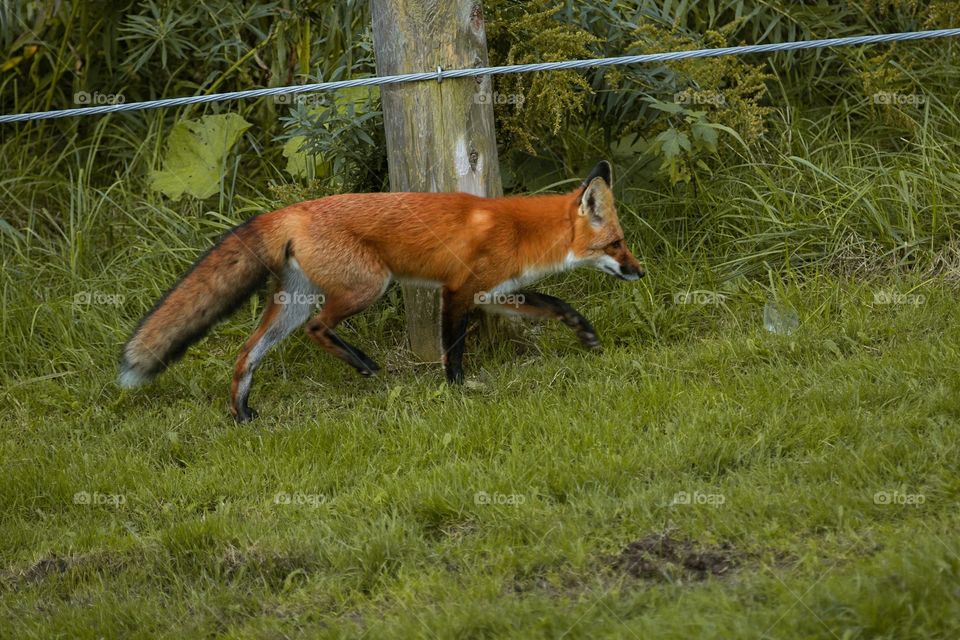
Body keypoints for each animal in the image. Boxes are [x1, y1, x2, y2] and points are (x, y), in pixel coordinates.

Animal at [119, 160, 644, 421]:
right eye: (617, 243)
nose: (640, 272)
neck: (519, 231)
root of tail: (289, 210)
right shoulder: (457, 290)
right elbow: (453, 349)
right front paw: (457, 389)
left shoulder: (494, 293)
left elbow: (557, 304)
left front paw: (584, 333)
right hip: (367, 286)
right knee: (317, 328)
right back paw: (363, 364)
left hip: (294, 303)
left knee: (247, 353)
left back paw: (242, 414)